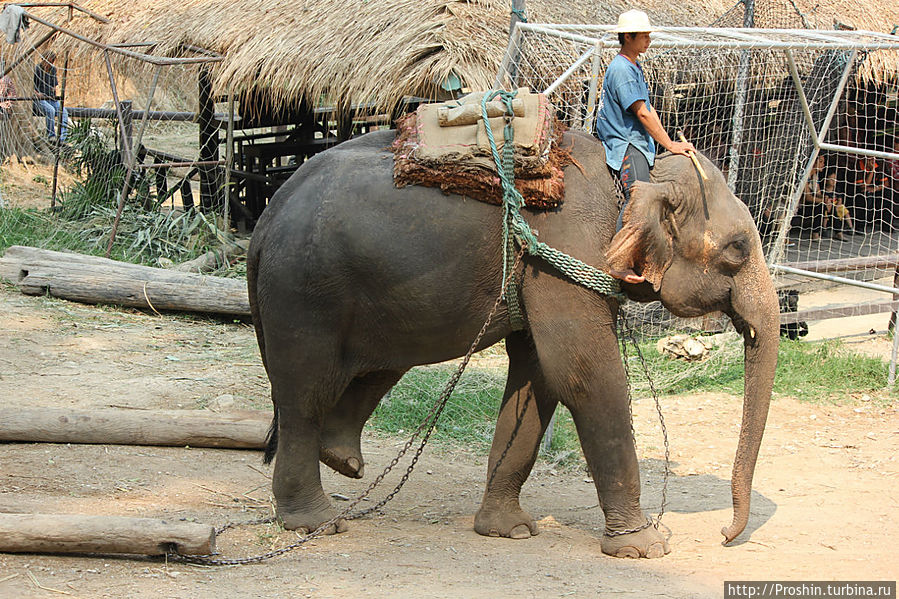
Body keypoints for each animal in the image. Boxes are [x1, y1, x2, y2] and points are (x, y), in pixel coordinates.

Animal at [248, 129, 780, 560]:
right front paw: (645, 547)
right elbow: (583, 373)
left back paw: (343, 460)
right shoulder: (564, 253)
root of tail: (264, 220)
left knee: (374, 369)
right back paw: (317, 522)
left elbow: (538, 377)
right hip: (304, 294)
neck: (634, 176)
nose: (725, 537)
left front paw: (510, 531)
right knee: (306, 395)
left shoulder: (540, 270)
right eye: (738, 248)